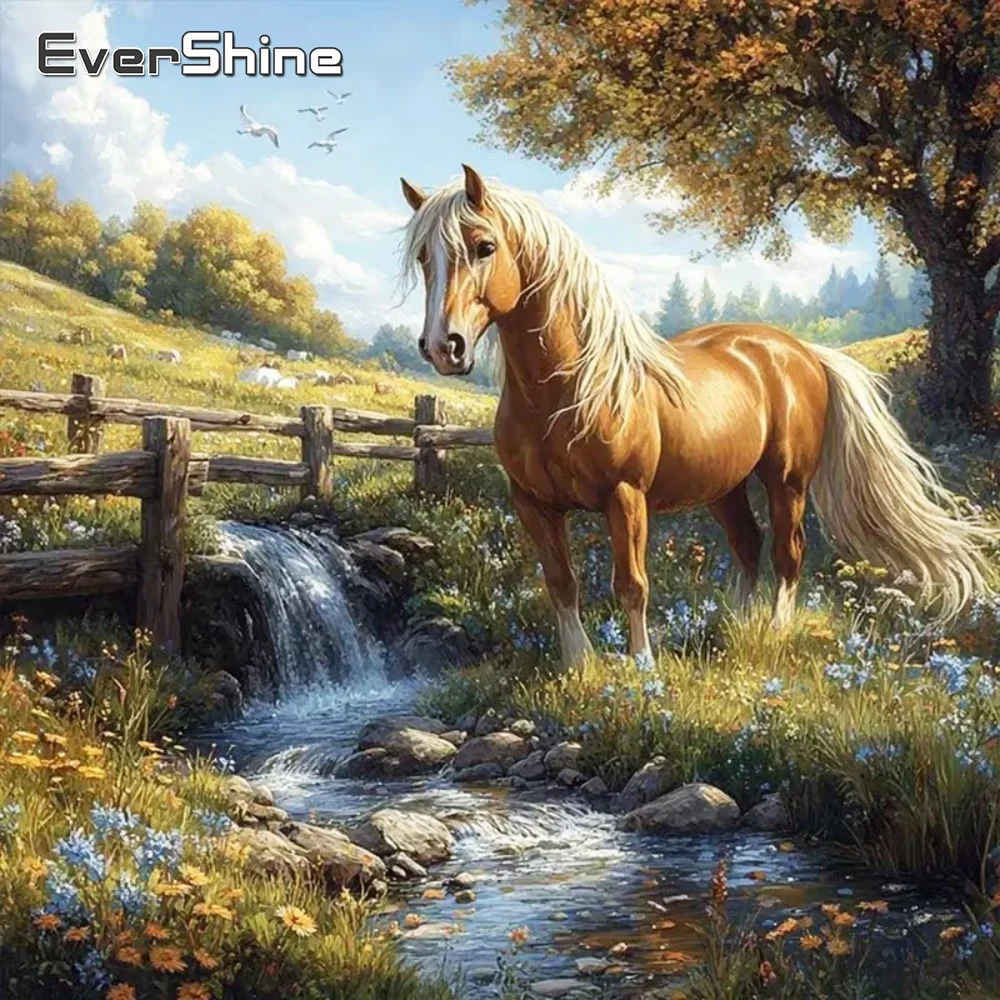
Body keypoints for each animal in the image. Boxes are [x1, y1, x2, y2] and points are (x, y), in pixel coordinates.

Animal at [398, 165, 997, 669]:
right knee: (747, 545)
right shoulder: (532, 504)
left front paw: (642, 668)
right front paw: (579, 667)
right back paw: (734, 622)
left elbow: (631, 583)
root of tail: (801, 351)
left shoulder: (626, 497)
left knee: (788, 553)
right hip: (723, 487)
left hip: (787, 482)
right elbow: (561, 583)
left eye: (484, 247)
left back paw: (773, 630)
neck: (568, 392)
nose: (443, 347)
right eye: (425, 256)